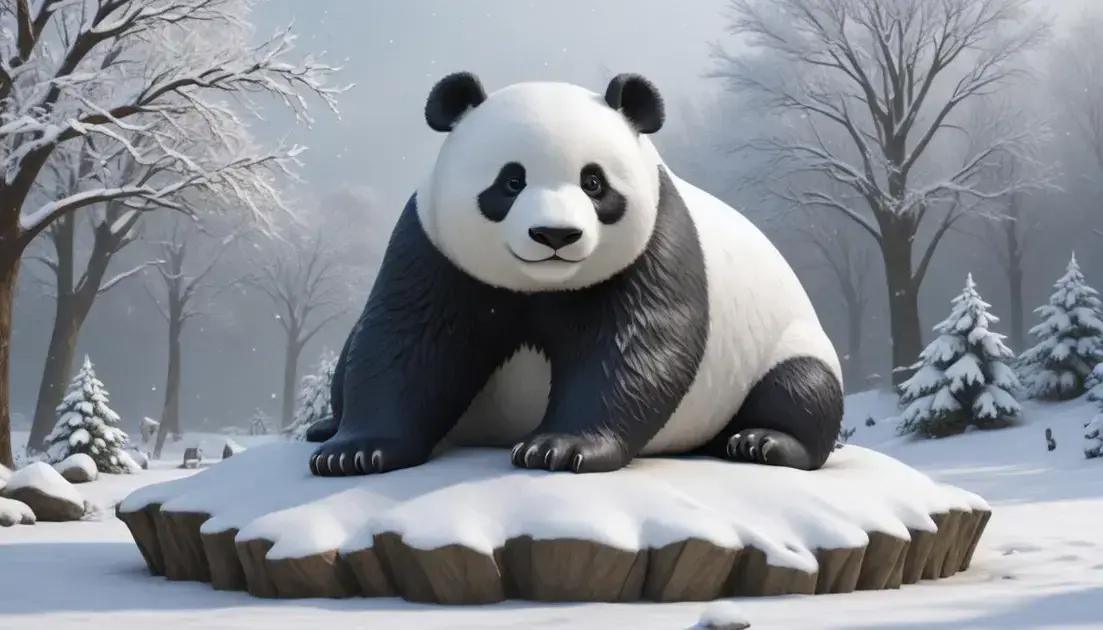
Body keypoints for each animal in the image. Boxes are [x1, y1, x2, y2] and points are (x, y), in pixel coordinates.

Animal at [307, 72, 843, 477]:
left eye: (594, 182)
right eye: (511, 181)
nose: (555, 235)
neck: (539, 286)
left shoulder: (655, 244)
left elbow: (630, 347)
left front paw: (559, 448)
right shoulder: (433, 246)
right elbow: (408, 338)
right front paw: (354, 452)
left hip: (785, 341)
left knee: (801, 389)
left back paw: (761, 441)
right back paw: (324, 428)